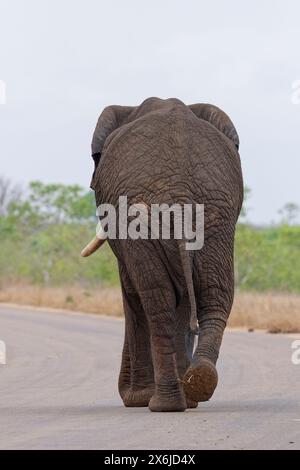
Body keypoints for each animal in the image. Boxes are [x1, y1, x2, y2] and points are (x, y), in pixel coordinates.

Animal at [82, 98, 244, 412]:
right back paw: (196, 384)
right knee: (213, 292)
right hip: (215, 214)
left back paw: (162, 402)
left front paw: (135, 399)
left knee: (155, 297)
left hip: (142, 218)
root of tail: (178, 189)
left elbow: (132, 291)